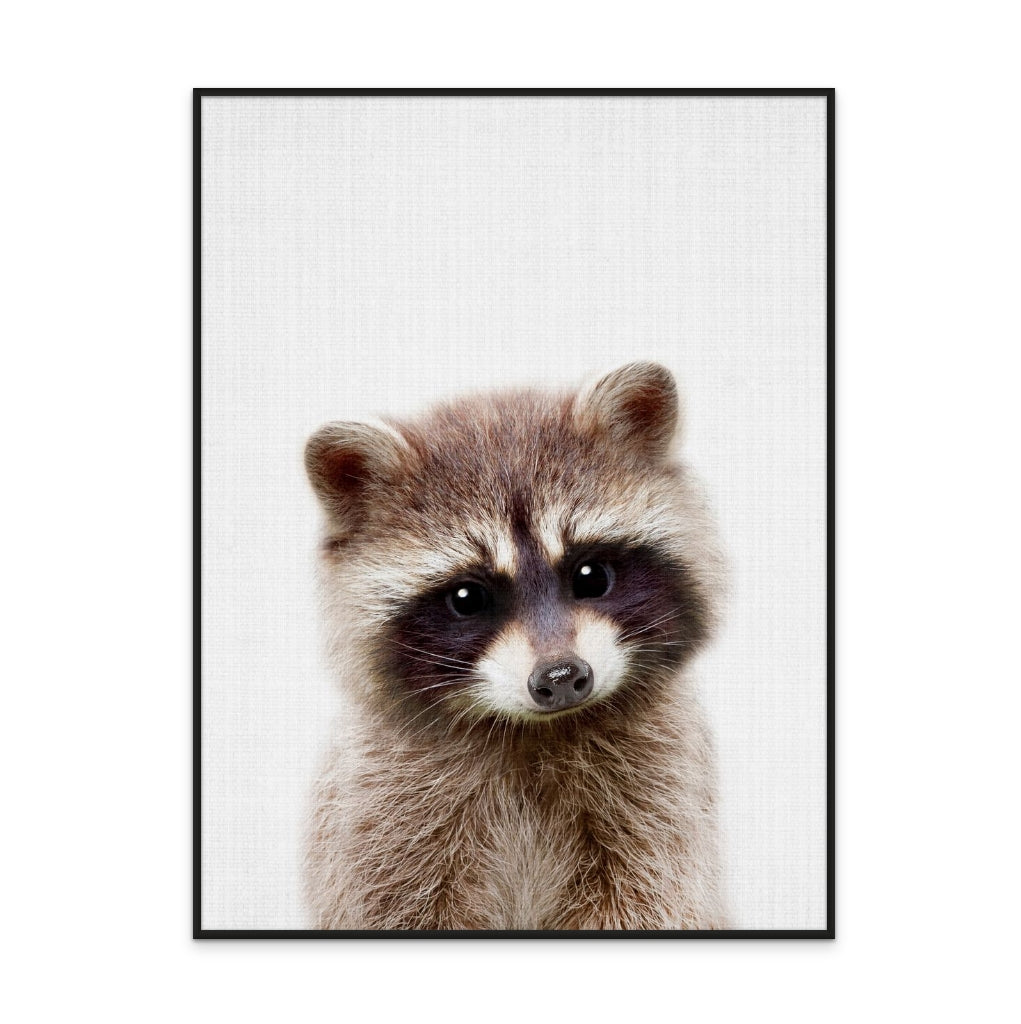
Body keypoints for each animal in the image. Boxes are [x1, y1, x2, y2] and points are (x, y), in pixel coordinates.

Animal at [304, 362, 728, 930]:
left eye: (591, 575)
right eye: (467, 597)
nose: (561, 678)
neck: (532, 731)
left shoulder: (661, 796)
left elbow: (650, 897)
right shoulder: (380, 812)